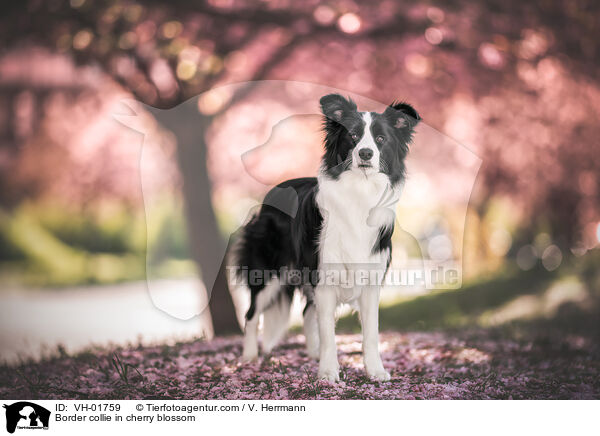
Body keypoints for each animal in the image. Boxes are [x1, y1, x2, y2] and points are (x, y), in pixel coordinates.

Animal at [229, 93, 418, 380]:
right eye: (353, 136)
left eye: (381, 139)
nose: (365, 153)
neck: (359, 191)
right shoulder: (324, 276)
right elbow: (329, 331)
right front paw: (329, 373)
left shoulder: (370, 280)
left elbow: (371, 333)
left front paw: (375, 371)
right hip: (268, 272)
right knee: (251, 314)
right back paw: (249, 357)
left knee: (308, 312)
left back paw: (313, 354)